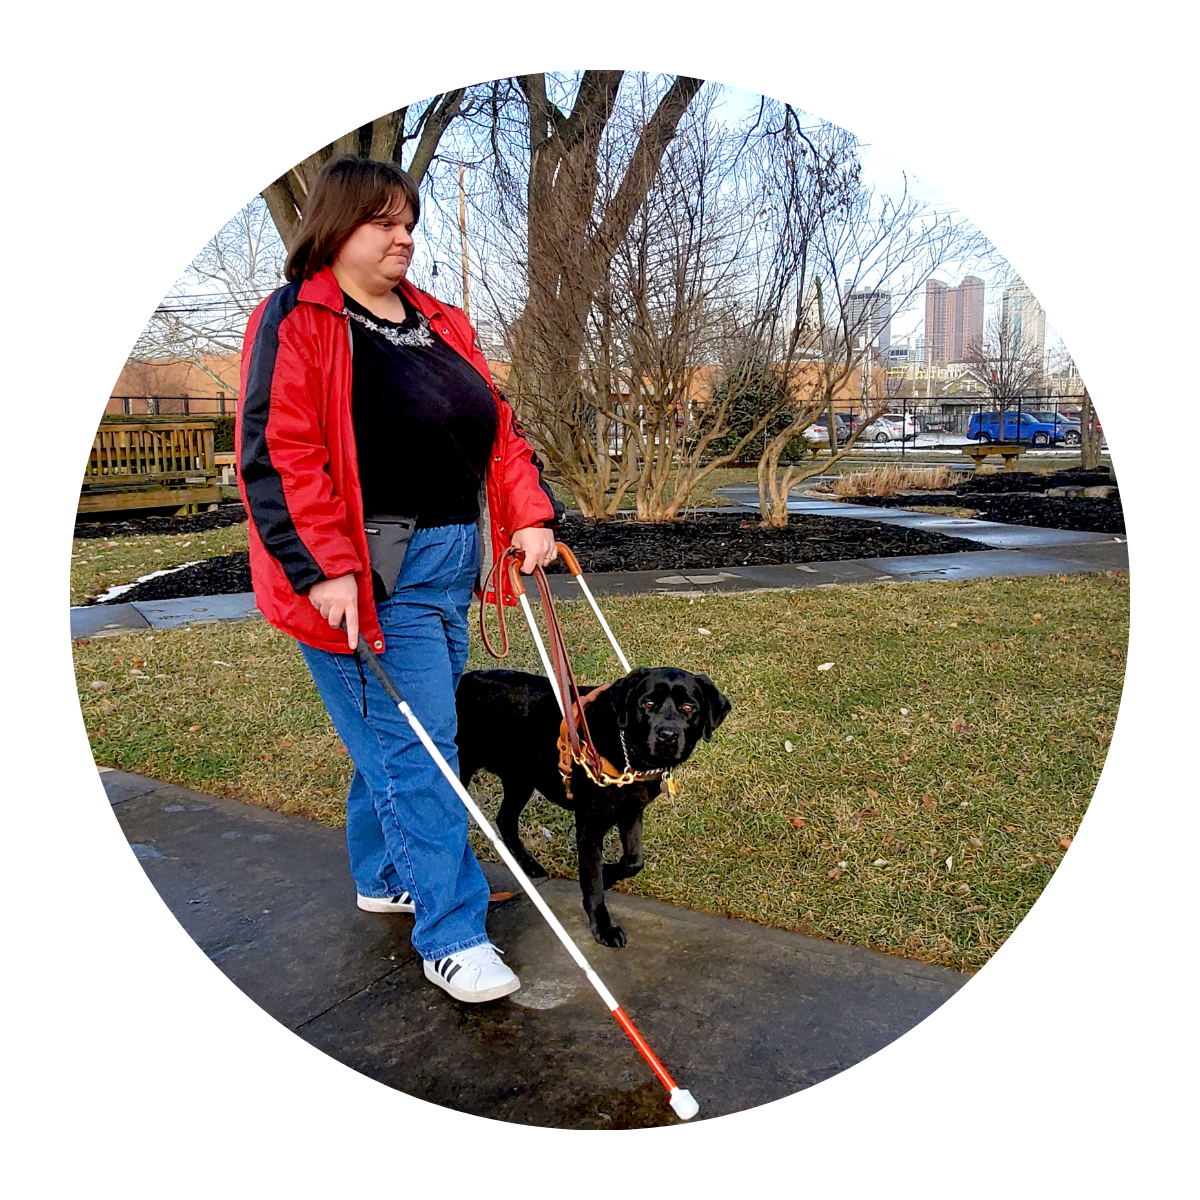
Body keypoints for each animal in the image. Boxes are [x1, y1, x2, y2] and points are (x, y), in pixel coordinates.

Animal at [451, 667, 724, 945]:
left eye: (688, 708)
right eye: (648, 704)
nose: (667, 735)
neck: (627, 752)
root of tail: (463, 679)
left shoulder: (630, 811)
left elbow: (634, 860)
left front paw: (609, 874)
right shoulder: (590, 823)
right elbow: (593, 883)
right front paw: (603, 927)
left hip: (521, 778)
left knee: (505, 819)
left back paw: (527, 864)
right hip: (463, 772)